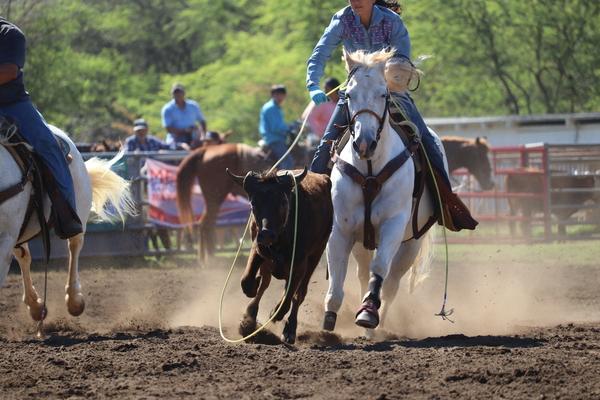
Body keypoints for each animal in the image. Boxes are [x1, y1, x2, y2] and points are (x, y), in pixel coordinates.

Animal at [0, 125, 134, 322]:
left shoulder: (6, 237)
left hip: (77, 211)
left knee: (74, 245)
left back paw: (74, 300)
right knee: (24, 257)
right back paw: (35, 305)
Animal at [324, 48, 446, 332]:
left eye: (383, 94)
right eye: (349, 95)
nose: (364, 143)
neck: (370, 171)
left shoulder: (393, 225)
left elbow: (380, 269)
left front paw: (368, 314)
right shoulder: (341, 229)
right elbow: (336, 278)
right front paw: (328, 320)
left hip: (411, 243)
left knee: (390, 284)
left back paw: (375, 326)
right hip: (363, 242)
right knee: (362, 273)